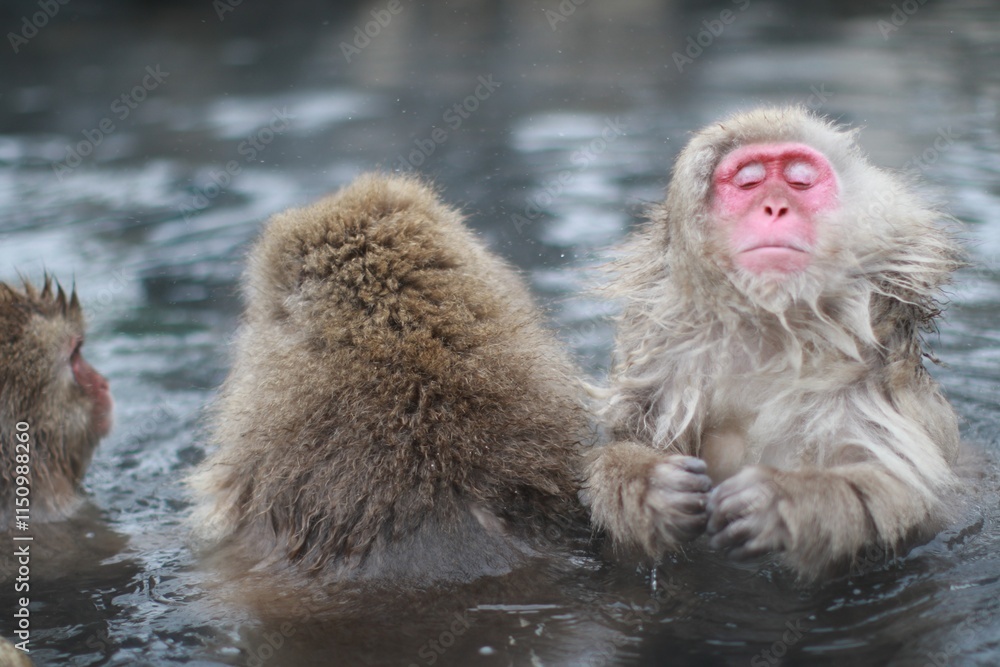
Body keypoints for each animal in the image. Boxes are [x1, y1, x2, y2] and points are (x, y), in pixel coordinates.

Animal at [581, 106, 964, 581]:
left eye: (801, 181)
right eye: (749, 182)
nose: (775, 207)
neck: (771, 328)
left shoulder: (876, 373)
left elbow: (902, 488)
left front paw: (780, 501)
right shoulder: (663, 361)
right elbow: (631, 437)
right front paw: (649, 485)